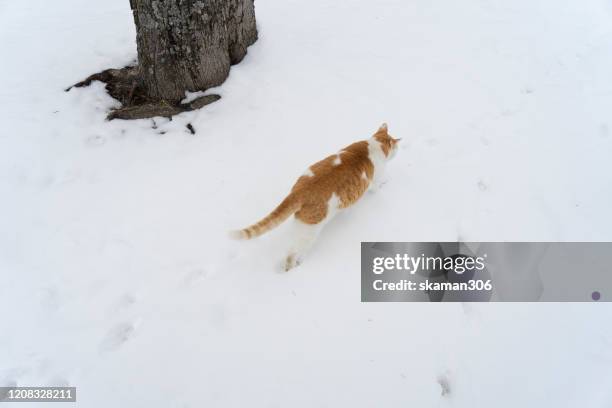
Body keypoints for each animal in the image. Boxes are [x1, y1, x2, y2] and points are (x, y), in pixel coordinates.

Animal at [232, 124, 400, 270]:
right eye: (396, 148)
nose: (396, 151)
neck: (374, 144)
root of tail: (298, 192)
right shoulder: (375, 180)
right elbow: (377, 186)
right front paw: (385, 183)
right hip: (310, 232)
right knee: (292, 253)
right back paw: (294, 265)